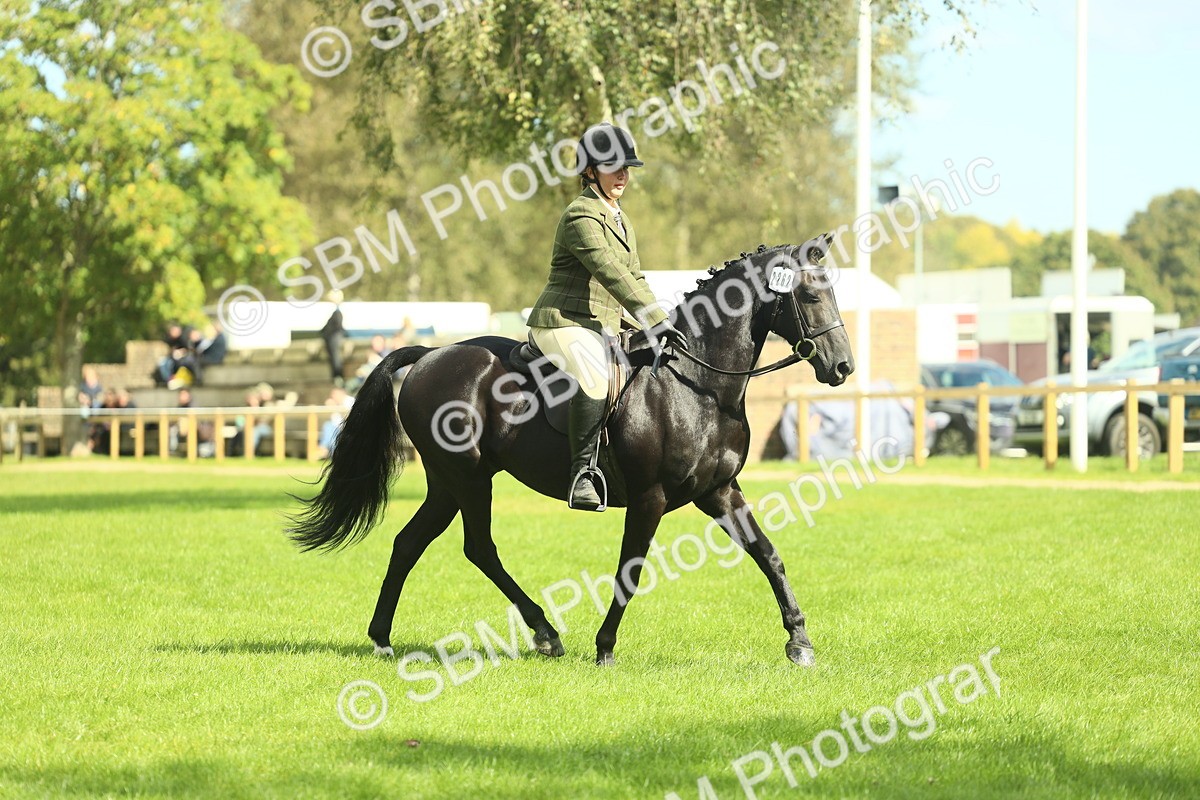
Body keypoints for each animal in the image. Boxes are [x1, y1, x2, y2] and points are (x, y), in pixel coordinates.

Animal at [287, 241, 854, 666]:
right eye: (809, 294)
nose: (843, 367)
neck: (698, 383)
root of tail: (432, 354)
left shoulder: (719, 492)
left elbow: (768, 555)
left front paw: (799, 641)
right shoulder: (650, 498)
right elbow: (631, 570)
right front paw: (605, 648)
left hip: (449, 483)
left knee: (411, 543)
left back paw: (384, 638)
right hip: (468, 478)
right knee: (478, 547)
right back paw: (544, 631)